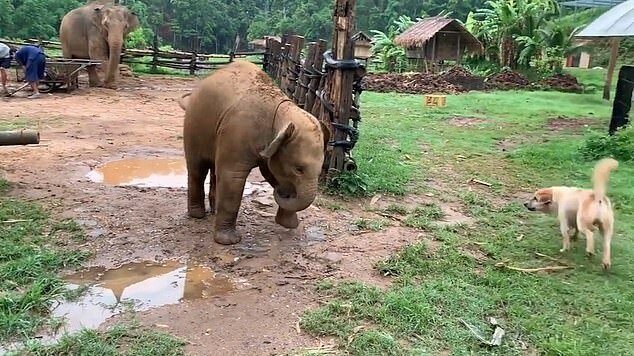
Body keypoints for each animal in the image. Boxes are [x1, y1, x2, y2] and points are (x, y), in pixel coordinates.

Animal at [177, 60, 326, 245]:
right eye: (298, 169)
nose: (280, 192)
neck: (282, 110)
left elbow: (270, 172)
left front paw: (289, 224)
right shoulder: (238, 130)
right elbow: (232, 176)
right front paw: (229, 241)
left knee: (215, 170)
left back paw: (213, 211)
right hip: (193, 126)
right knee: (198, 169)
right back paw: (197, 215)